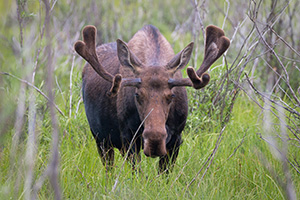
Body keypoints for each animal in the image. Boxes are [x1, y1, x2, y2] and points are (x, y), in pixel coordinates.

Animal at [75, 24, 230, 172]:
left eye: (171, 95)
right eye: (137, 95)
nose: (154, 142)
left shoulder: (176, 138)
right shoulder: (128, 138)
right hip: (100, 139)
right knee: (109, 169)